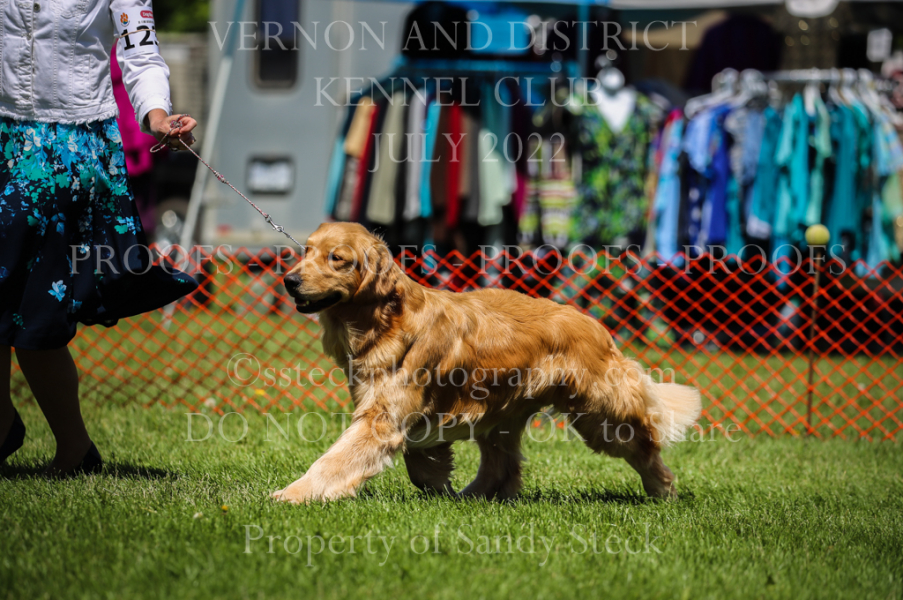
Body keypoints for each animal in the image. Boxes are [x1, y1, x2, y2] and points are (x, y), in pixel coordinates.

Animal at [272, 222, 701, 503]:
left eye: (337, 258)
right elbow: (417, 456)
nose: (289, 281)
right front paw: (436, 480)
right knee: (502, 466)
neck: (382, 318)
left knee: (644, 443)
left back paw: (662, 489)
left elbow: (334, 460)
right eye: (306, 251)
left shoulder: (381, 418)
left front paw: (295, 493)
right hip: (500, 411)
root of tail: (593, 322)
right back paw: (472, 496)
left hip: (600, 413)